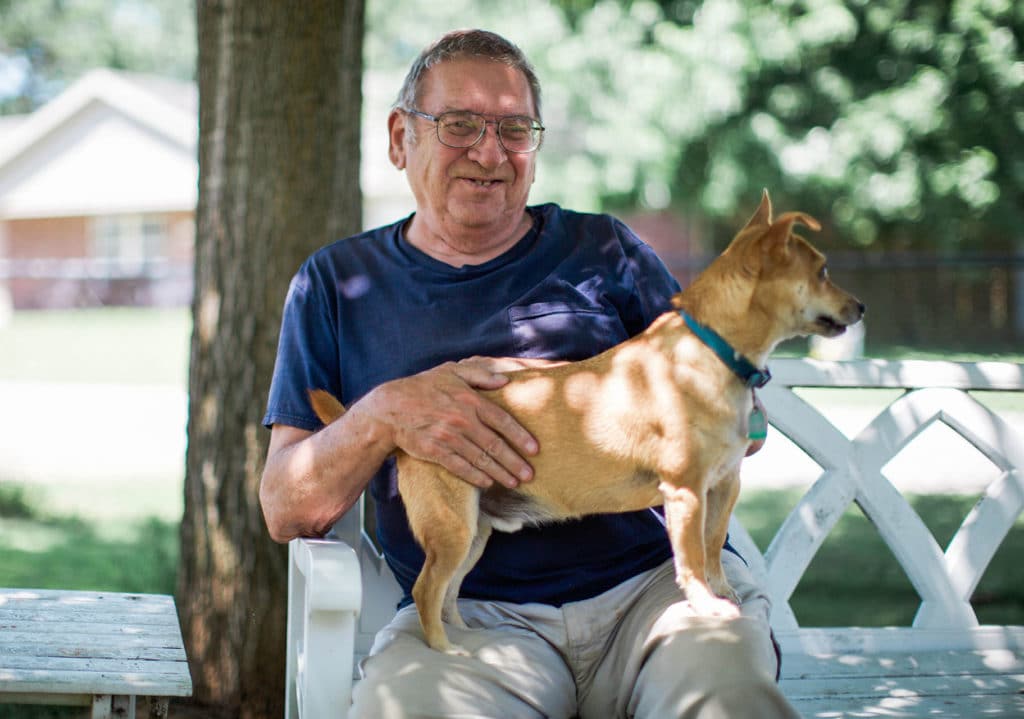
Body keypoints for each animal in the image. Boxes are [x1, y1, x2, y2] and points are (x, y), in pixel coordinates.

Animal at [309, 194, 864, 655]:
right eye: (823, 271)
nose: (861, 306)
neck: (712, 350)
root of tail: (403, 442)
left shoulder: (723, 487)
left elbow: (712, 548)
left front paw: (724, 593)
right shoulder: (686, 493)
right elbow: (691, 561)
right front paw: (707, 605)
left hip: (474, 534)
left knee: (449, 593)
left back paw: (467, 637)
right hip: (452, 529)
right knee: (428, 590)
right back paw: (447, 651)